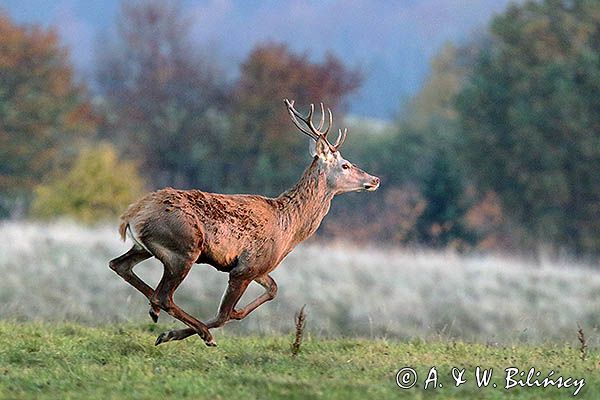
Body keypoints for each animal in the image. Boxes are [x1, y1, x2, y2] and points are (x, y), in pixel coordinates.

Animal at [109, 98, 380, 346]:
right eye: (345, 165)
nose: (375, 179)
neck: (289, 228)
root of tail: (132, 214)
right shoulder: (244, 268)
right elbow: (223, 314)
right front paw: (177, 334)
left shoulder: (260, 267)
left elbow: (271, 290)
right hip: (184, 248)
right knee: (164, 295)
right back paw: (193, 331)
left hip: (147, 248)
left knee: (120, 266)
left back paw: (154, 311)